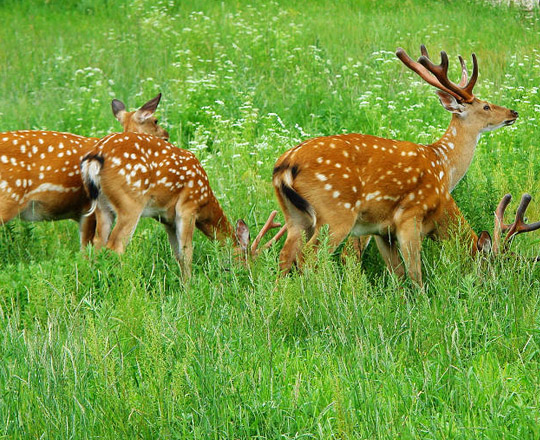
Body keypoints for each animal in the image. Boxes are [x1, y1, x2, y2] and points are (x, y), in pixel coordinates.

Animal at [80, 132, 286, 278]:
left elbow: (177, 254)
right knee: (115, 246)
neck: (205, 199)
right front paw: (188, 288)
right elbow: (187, 253)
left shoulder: (166, 218)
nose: (249, 275)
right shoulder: (188, 207)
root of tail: (95, 157)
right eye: (246, 258)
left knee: (97, 243)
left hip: (102, 207)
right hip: (130, 203)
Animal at [270, 44, 528, 286]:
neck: (443, 163)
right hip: (335, 213)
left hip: (295, 216)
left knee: (285, 256)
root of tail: (285, 165)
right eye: (485, 106)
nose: (513, 112)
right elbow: (410, 270)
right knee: (310, 257)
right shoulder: (405, 219)